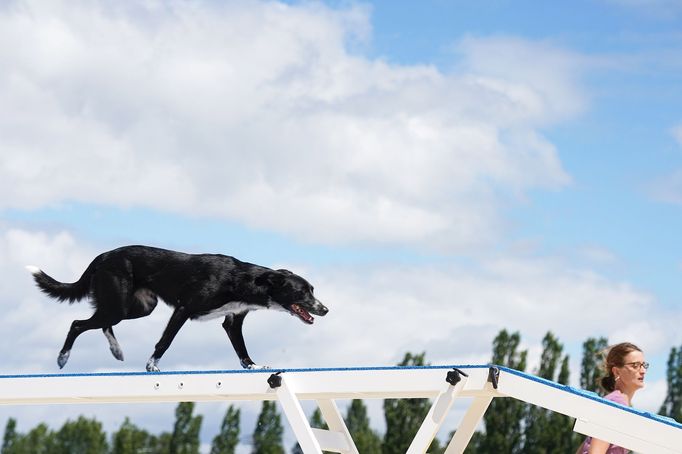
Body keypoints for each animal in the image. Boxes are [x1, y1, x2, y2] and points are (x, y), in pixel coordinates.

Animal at [23, 247, 326, 370]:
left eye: (313, 290)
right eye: (302, 292)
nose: (325, 309)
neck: (244, 279)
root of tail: (102, 256)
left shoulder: (232, 321)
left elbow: (241, 350)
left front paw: (253, 366)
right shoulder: (183, 309)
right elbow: (165, 341)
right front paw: (151, 366)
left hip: (140, 307)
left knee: (100, 323)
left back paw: (116, 351)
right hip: (119, 304)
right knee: (78, 323)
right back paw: (63, 358)